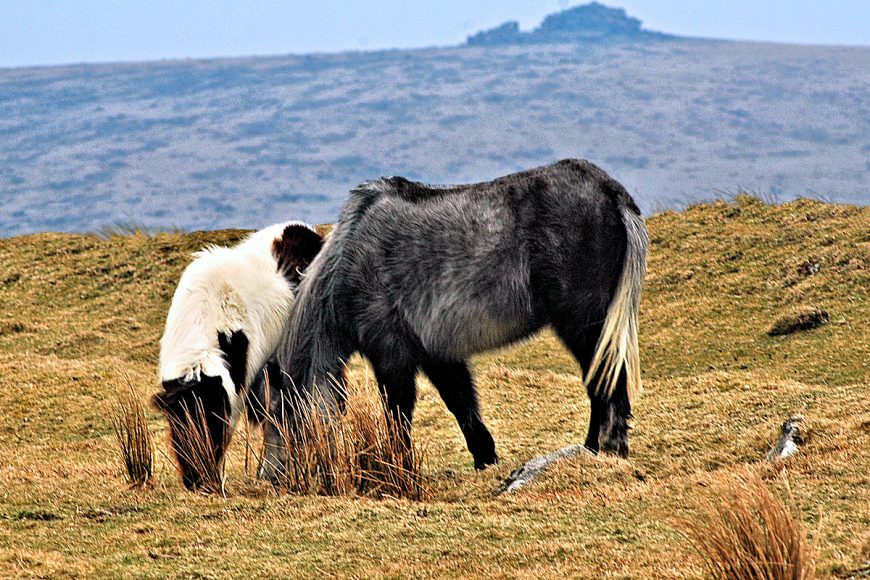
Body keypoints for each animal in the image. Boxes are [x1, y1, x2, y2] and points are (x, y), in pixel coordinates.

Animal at [264, 157, 648, 476]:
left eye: (281, 416)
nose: (271, 476)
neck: (348, 261)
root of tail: (608, 188)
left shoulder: (391, 354)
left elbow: (398, 414)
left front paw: (401, 468)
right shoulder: (434, 353)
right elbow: (461, 404)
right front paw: (485, 458)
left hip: (581, 322)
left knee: (603, 380)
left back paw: (600, 448)